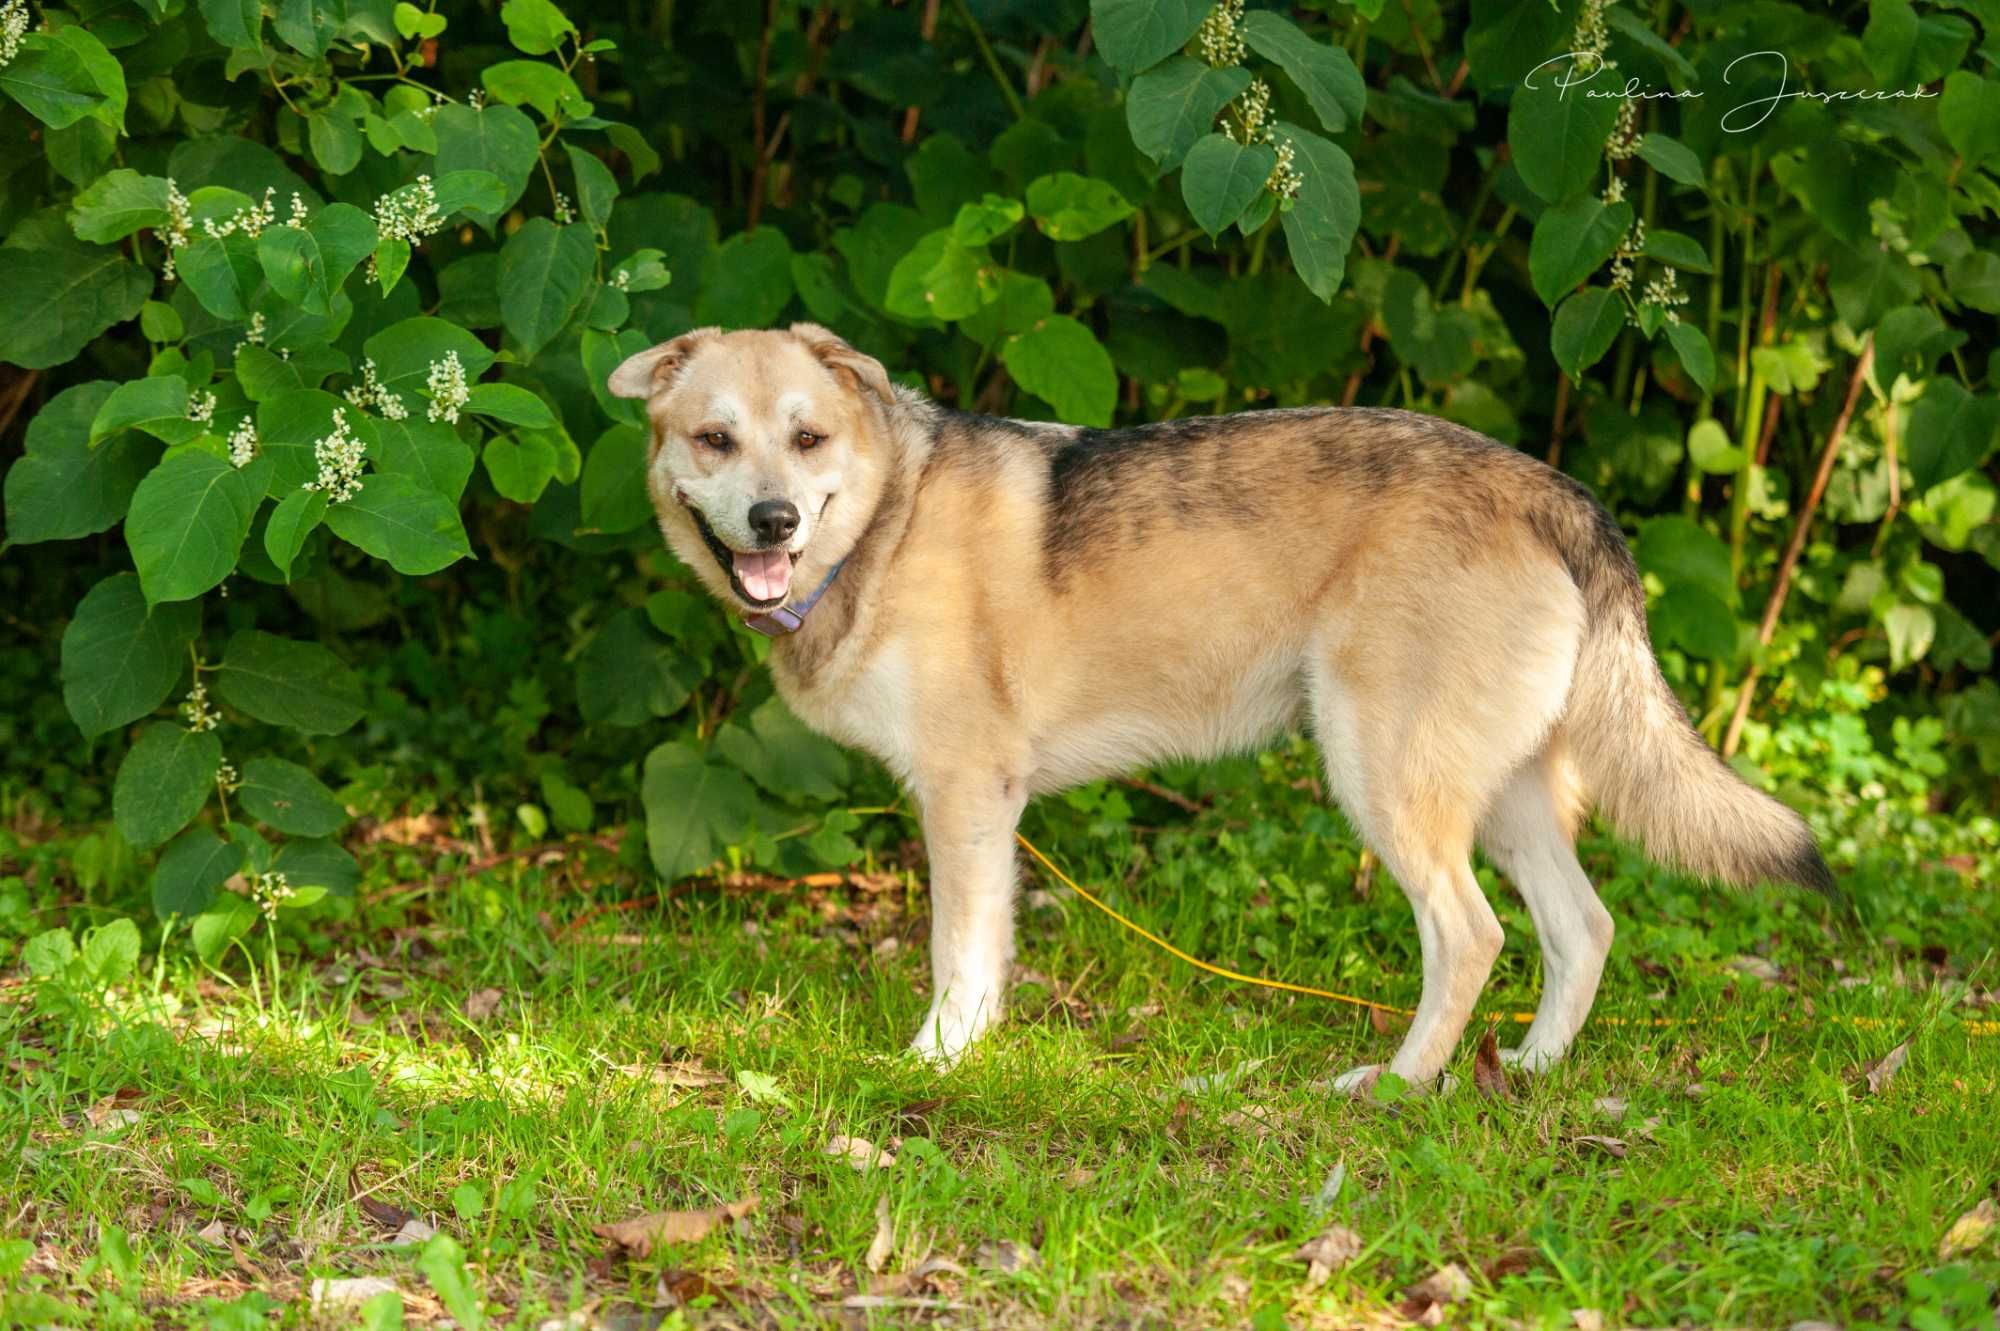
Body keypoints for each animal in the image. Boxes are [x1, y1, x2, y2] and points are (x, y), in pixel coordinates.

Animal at [600, 323, 1832, 1087]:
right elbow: (989, 957)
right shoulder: (988, 812)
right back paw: (1522, 1074)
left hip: (1384, 778)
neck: (881, 527)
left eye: (808, 437)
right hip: (1504, 794)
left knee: (1472, 935)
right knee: (1583, 929)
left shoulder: (964, 794)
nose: (771, 520)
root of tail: (1556, 488)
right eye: (714, 438)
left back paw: (1393, 1086)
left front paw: (936, 1062)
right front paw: (976, 1050)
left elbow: (956, 952)